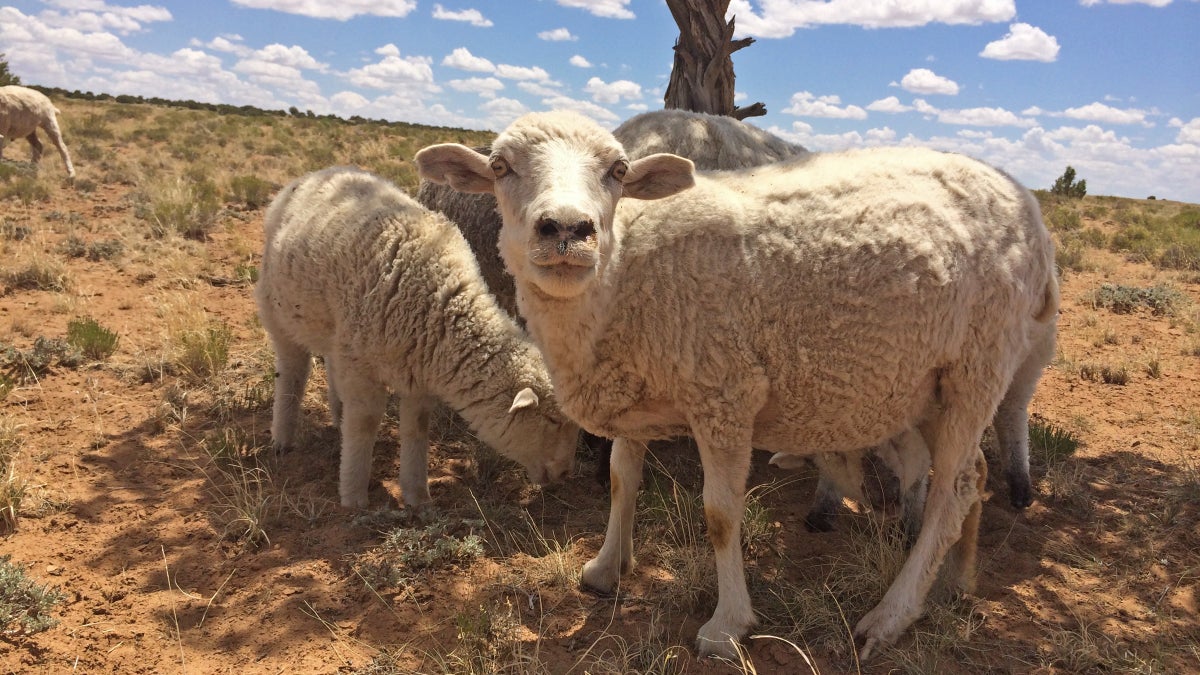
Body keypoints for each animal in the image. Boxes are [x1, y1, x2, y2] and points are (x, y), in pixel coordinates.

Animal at [255, 166, 578, 504]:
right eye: (552, 420)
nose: (565, 473)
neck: (443, 306)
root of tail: (313, 175)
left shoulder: (417, 372)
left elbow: (417, 428)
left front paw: (417, 496)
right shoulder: (362, 367)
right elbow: (365, 424)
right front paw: (354, 496)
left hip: (337, 331)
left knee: (329, 364)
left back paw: (337, 417)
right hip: (278, 308)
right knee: (292, 371)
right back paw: (283, 438)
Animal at [415, 110, 1060, 658]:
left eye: (618, 171)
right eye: (501, 166)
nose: (568, 229)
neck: (624, 272)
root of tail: (1021, 197)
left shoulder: (724, 394)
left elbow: (721, 514)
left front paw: (727, 627)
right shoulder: (635, 384)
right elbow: (623, 480)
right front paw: (605, 568)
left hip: (980, 363)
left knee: (956, 486)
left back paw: (890, 616)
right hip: (931, 383)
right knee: (972, 475)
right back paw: (953, 581)